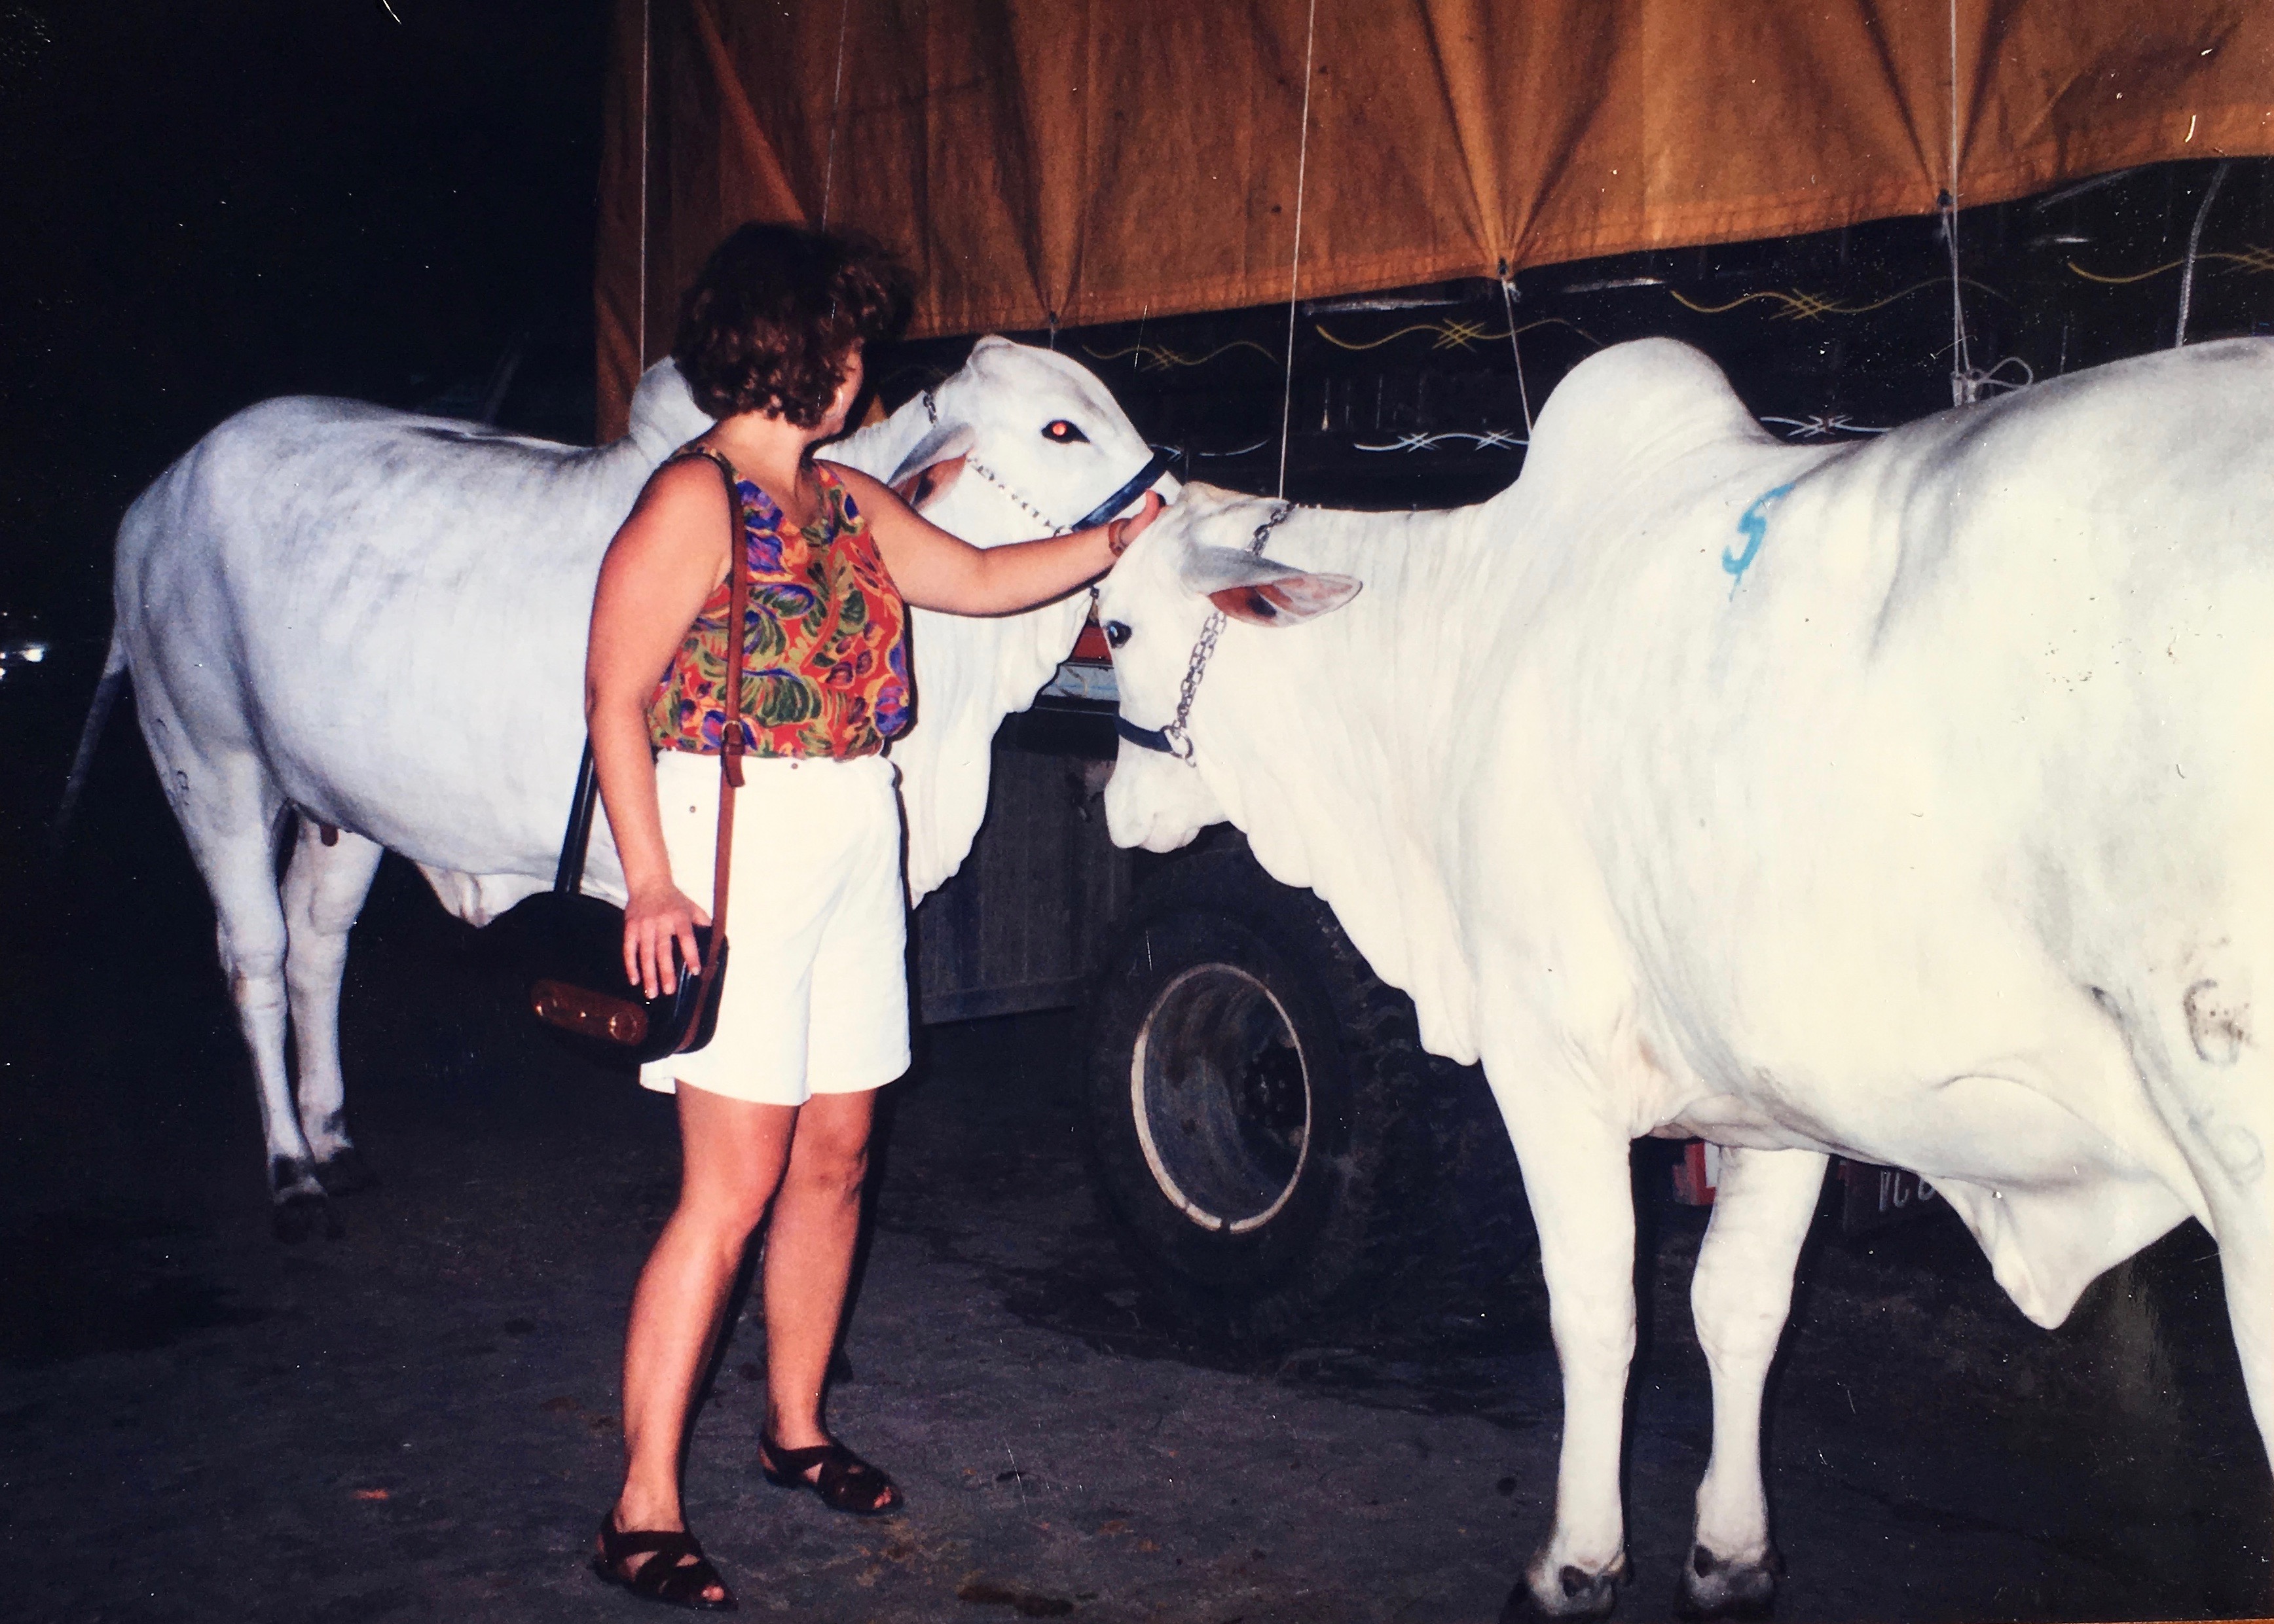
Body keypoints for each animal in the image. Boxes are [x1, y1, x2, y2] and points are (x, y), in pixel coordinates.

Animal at [90, 338, 1164, 1228]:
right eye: (1060, 429)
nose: (1169, 500)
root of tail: (157, 497)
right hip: (210, 764)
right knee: (256, 955)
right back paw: (290, 1168)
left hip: (342, 809)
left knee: (318, 944)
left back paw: (334, 1140)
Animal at [1091, 334, 2265, 1610]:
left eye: (1113, 629)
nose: (1115, 810)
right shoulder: (1778, 1095)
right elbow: (1739, 1306)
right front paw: (1732, 1549)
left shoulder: (1547, 1060)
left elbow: (1598, 1307)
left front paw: (1575, 1559)